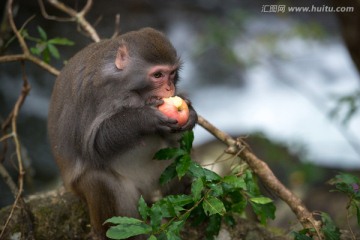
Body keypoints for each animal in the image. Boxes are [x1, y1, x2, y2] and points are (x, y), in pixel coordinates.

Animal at [47, 27, 197, 238]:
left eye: (172, 73)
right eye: (158, 75)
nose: (170, 87)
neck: (127, 87)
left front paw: (191, 114)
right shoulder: (94, 94)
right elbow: (94, 146)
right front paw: (145, 118)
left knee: (179, 153)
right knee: (99, 179)